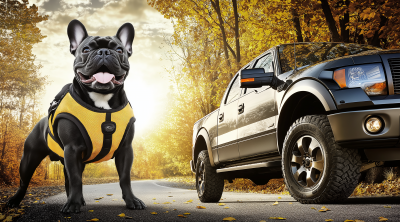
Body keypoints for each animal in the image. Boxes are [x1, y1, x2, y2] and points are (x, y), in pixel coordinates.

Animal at [6, 20, 146, 212]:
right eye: (86, 50)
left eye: (119, 50)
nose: (104, 52)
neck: (101, 99)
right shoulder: (72, 148)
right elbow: (76, 179)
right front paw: (73, 204)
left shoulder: (125, 149)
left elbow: (125, 177)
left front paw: (132, 200)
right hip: (29, 158)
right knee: (24, 181)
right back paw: (15, 201)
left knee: (67, 180)